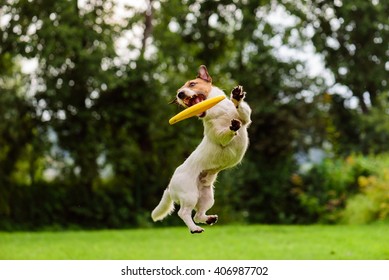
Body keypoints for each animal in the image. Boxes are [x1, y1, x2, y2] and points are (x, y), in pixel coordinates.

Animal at [150, 65, 250, 234]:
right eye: (178, 92)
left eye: (192, 84)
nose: (180, 94)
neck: (217, 110)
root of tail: (170, 186)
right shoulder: (219, 137)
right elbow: (224, 134)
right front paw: (232, 127)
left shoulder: (246, 119)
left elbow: (242, 112)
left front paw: (237, 96)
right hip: (189, 195)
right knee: (184, 213)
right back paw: (194, 228)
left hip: (206, 196)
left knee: (198, 214)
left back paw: (209, 219)